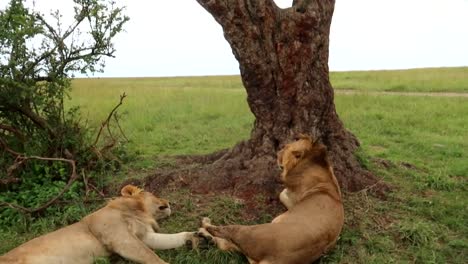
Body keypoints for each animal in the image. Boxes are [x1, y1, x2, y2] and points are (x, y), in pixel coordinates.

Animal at [1, 185, 203, 262]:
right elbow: (152, 257)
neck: (137, 213)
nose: (168, 202)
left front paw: (196, 236)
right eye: (152, 193)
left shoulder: (146, 236)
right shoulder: (120, 239)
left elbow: (172, 239)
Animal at [197, 136, 344, 264]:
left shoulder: (293, 196)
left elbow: (282, 193)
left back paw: (205, 224)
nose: (278, 151)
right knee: (224, 244)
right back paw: (207, 237)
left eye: (286, 147)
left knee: (223, 232)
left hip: (250, 232)